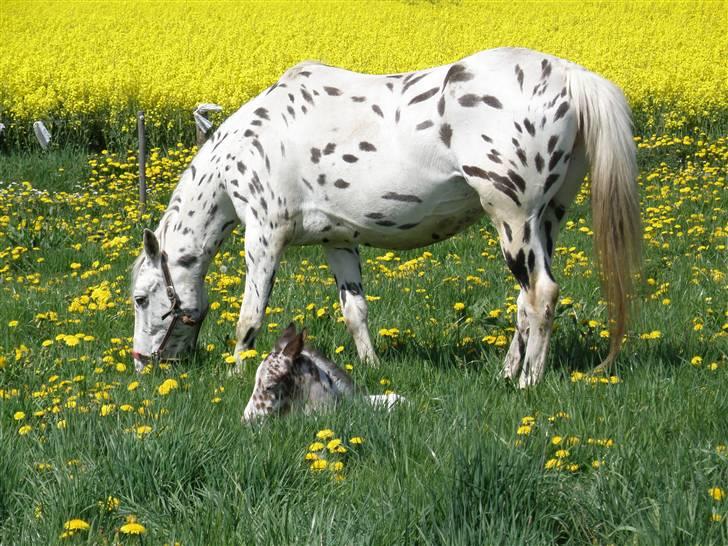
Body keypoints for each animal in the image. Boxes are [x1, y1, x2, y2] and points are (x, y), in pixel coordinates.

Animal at [129, 47, 636, 386]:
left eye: (140, 298)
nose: (141, 362)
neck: (245, 147)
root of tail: (570, 76)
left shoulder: (264, 237)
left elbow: (250, 315)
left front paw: (237, 372)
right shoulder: (338, 241)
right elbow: (355, 312)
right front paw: (371, 366)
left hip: (513, 218)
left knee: (540, 295)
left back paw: (529, 381)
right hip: (545, 220)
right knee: (524, 302)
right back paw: (506, 373)